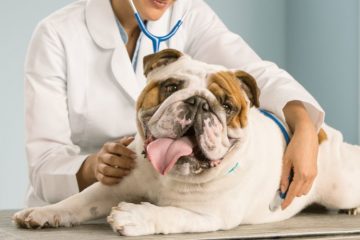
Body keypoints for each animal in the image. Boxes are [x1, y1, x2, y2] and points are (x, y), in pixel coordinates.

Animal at [12, 49, 360, 236]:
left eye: (227, 105)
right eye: (170, 87)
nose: (199, 103)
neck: (168, 177)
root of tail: (322, 132)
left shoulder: (209, 215)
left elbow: (170, 214)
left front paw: (134, 216)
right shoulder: (112, 186)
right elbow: (78, 200)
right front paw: (43, 213)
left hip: (341, 187)